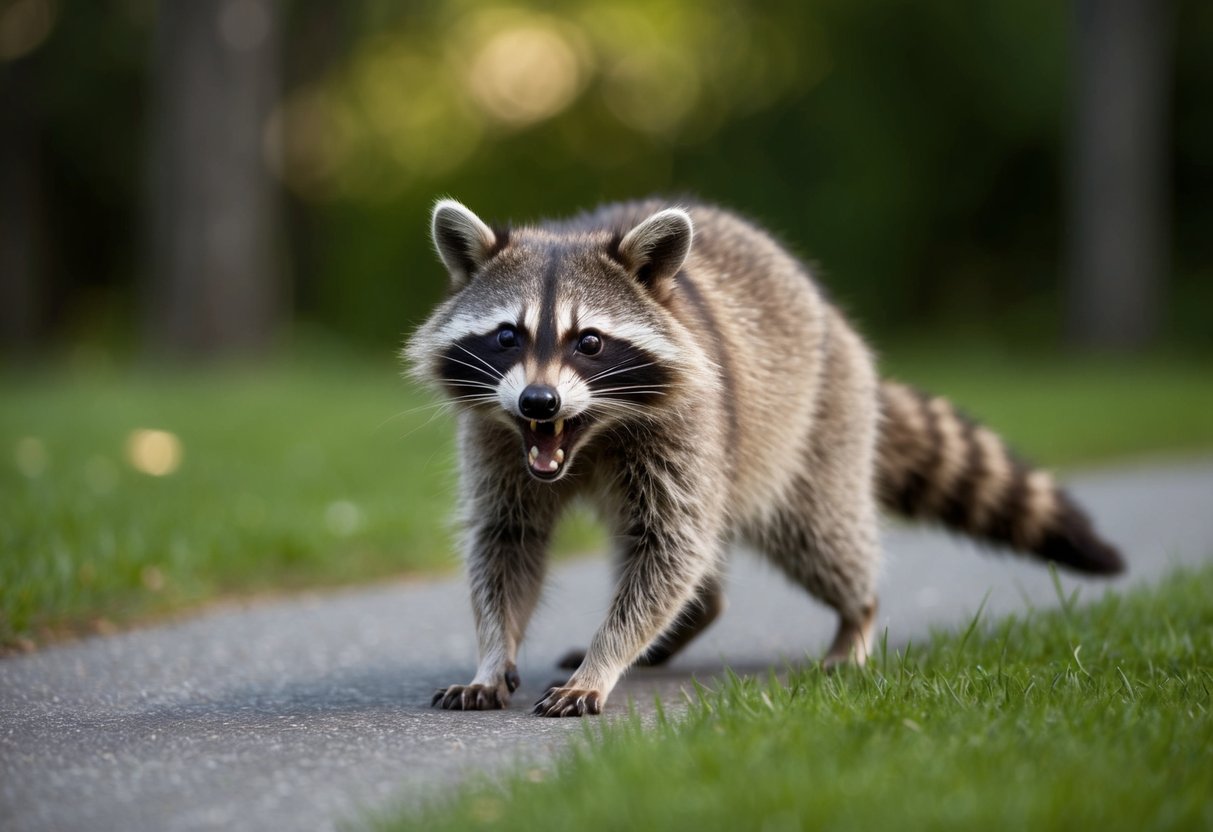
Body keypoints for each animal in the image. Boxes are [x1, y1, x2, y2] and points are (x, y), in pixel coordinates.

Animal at [405, 198, 1123, 718]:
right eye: (507, 336)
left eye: (589, 342)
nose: (538, 400)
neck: (586, 436)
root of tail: (837, 323)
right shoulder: (497, 439)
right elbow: (506, 542)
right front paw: (492, 653)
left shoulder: (686, 425)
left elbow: (669, 549)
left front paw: (605, 662)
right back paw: (689, 622)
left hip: (816, 423)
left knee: (819, 537)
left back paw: (857, 615)